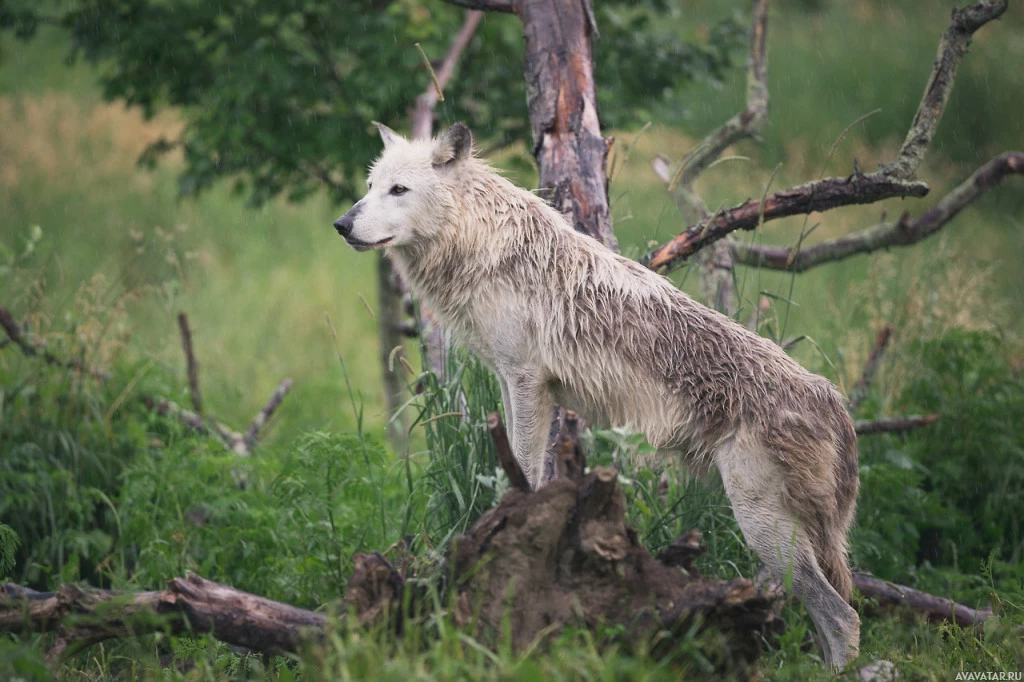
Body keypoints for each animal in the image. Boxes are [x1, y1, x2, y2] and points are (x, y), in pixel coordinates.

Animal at [331, 120, 860, 663]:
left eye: (399, 190)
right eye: (370, 187)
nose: (341, 224)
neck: (483, 247)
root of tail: (835, 404)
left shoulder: (527, 381)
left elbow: (525, 471)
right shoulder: (508, 381)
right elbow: (515, 465)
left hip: (764, 531)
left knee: (844, 618)